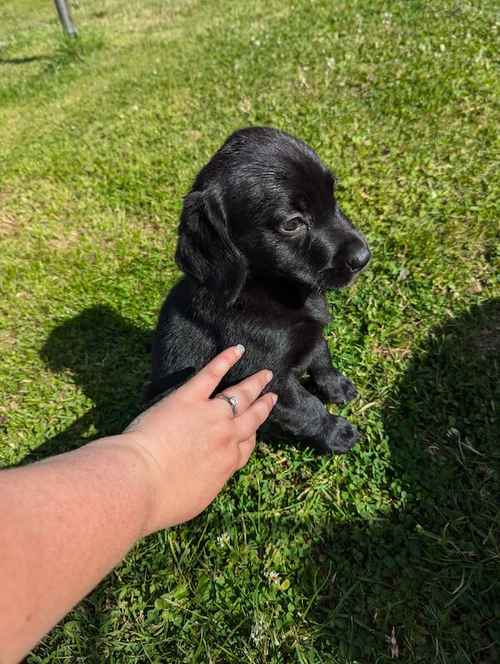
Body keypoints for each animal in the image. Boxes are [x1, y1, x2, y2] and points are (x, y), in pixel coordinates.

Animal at [146, 127, 370, 454]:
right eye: (292, 223)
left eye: (333, 196)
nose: (364, 257)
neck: (275, 290)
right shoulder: (267, 378)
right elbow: (307, 408)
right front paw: (337, 433)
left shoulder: (312, 336)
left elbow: (322, 357)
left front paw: (336, 386)